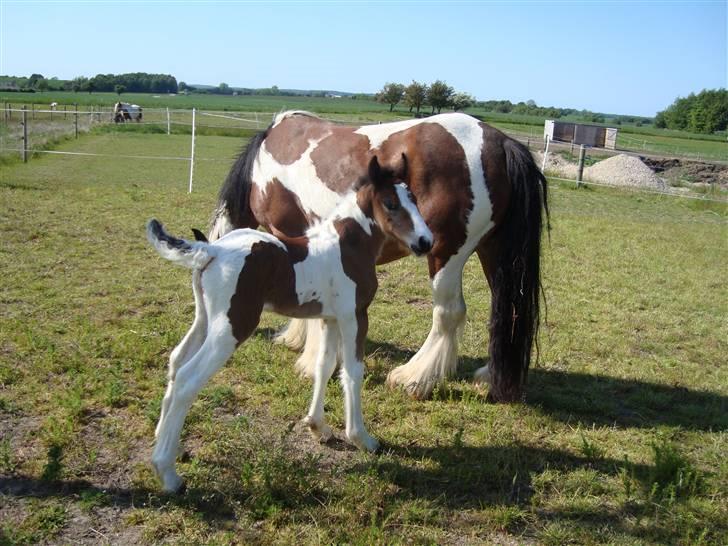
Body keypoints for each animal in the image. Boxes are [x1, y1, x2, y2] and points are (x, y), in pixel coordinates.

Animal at [148, 155, 432, 490]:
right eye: (390, 203)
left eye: (414, 198)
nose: (426, 242)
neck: (347, 246)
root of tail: (213, 249)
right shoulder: (354, 316)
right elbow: (352, 372)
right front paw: (361, 437)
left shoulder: (329, 318)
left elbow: (324, 366)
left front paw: (317, 426)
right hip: (232, 327)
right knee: (188, 378)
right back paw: (167, 472)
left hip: (205, 319)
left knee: (176, 361)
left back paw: (169, 444)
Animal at [208, 109, 548, 400]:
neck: (265, 161)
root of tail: (500, 142)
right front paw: (295, 340)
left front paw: (310, 361)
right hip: (494, 253)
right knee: (507, 314)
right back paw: (488, 377)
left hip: (446, 253)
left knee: (448, 313)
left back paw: (413, 379)